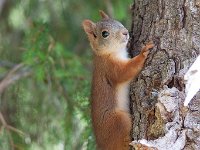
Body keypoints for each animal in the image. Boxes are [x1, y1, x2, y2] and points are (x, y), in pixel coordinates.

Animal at [82, 10, 154, 150]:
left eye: (118, 22)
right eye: (105, 34)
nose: (125, 32)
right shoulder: (110, 68)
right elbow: (125, 71)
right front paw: (143, 53)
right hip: (119, 121)